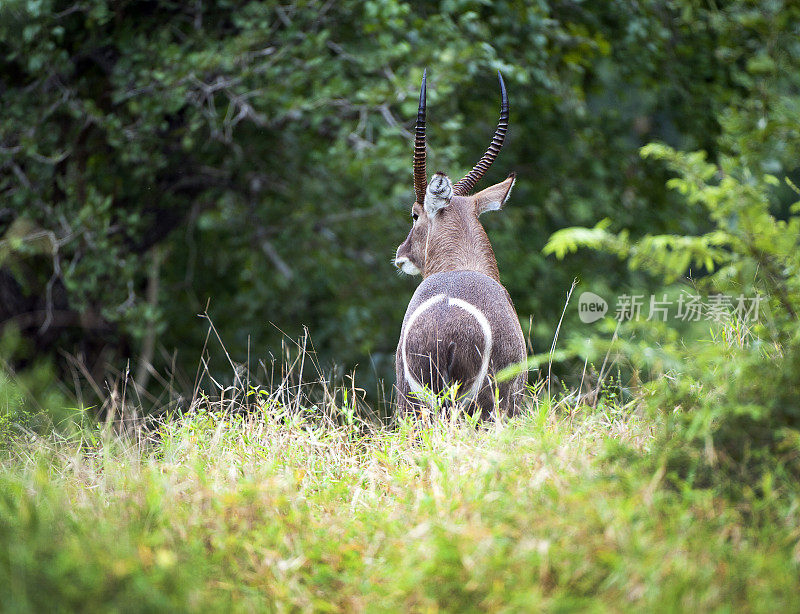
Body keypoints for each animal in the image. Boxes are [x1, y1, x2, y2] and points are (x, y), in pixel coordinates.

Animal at [394, 71, 524, 418]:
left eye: (414, 214)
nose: (400, 255)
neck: (461, 263)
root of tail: (445, 326)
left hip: (414, 405)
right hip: (482, 406)